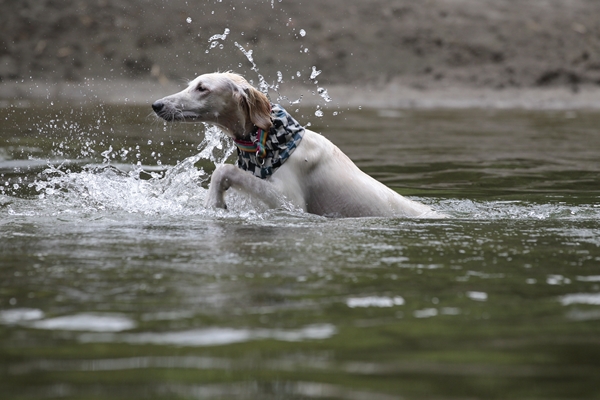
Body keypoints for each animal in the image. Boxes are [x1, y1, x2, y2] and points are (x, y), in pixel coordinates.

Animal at [152, 72, 438, 217]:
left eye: (202, 88)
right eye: (190, 85)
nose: (156, 105)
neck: (273, 140)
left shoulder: (291, 202)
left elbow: (223, 170)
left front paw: (215, 202)